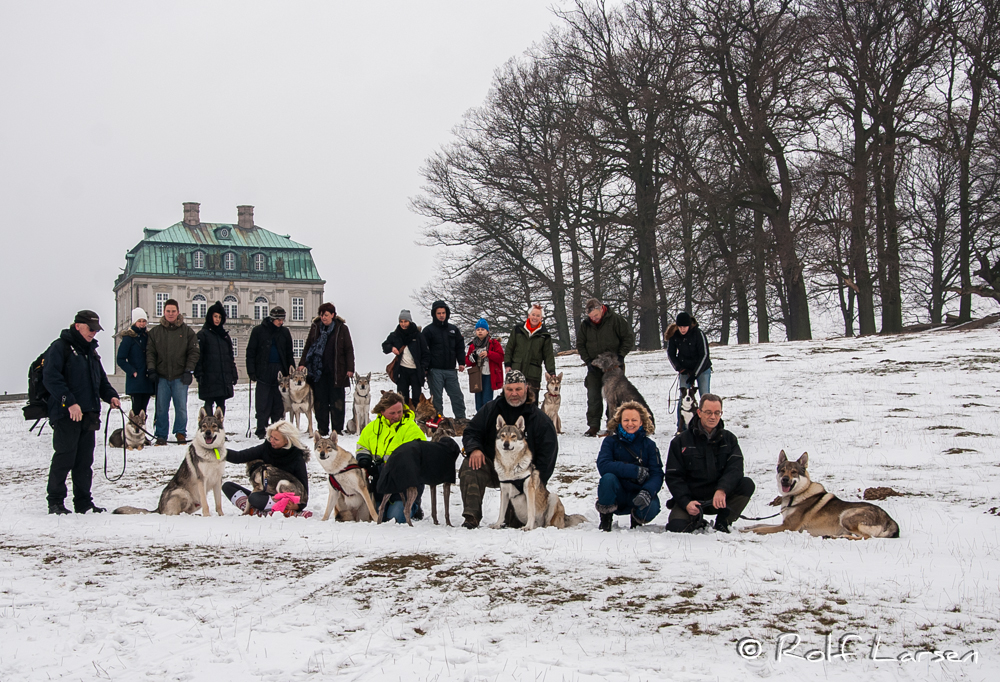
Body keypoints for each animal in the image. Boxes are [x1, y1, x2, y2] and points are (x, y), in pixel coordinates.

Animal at [748, 448, 904, 540]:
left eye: (794, 472)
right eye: (782, 470)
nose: (785, 479)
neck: (795, 496)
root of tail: (891, 521)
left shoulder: (788, 527)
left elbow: (763, 528)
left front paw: (750, 531)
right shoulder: (784, 523)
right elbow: (759, 524)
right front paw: (747, 527)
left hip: (847, 515)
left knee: (865, 537)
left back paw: (839, 537)